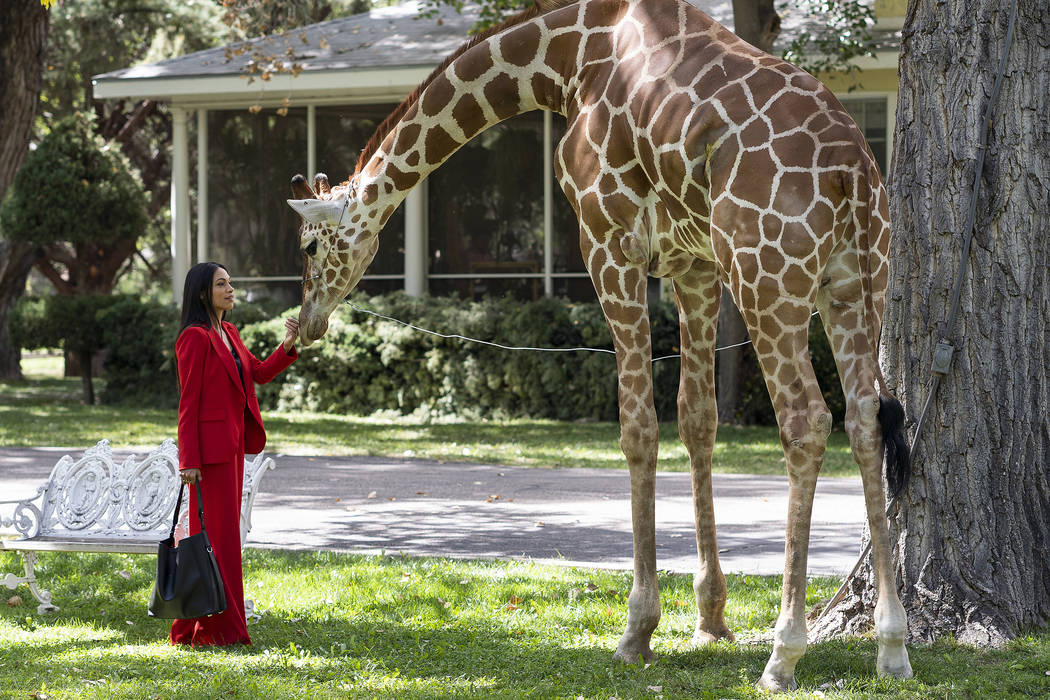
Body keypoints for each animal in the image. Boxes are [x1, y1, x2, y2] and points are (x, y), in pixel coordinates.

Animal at [285, 0, 911, 688]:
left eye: (310, 246)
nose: (303, 323)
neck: (567, 59)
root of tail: (853, 168)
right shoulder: (695, 266)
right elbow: (697, 420)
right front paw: (710, 619)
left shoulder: (609, 241)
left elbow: (637, 427)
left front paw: (637, 631)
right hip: (855, 283)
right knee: (865, 418)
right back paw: (892, 644)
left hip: (768, 280)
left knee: (806, 421)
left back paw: (783, 653)